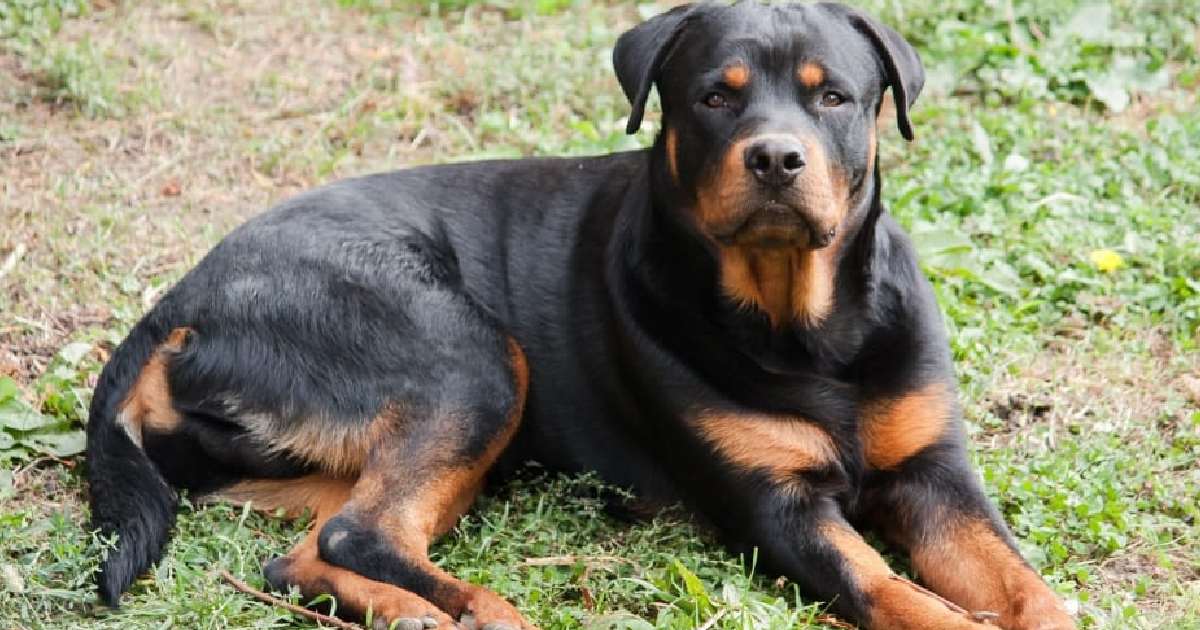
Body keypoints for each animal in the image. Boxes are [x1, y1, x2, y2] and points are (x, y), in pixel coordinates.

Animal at [87, 1, 1080, 628]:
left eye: (833, 94)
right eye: (714, 96)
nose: (775, 157)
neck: (805, 326)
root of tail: (180, 302)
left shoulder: (937, 476)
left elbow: (1028, 586)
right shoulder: (778, 507)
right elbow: (889, 588)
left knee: (311, 549)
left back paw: (417, 615)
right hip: (469, 360)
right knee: (362, 531)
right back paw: (480, 612)